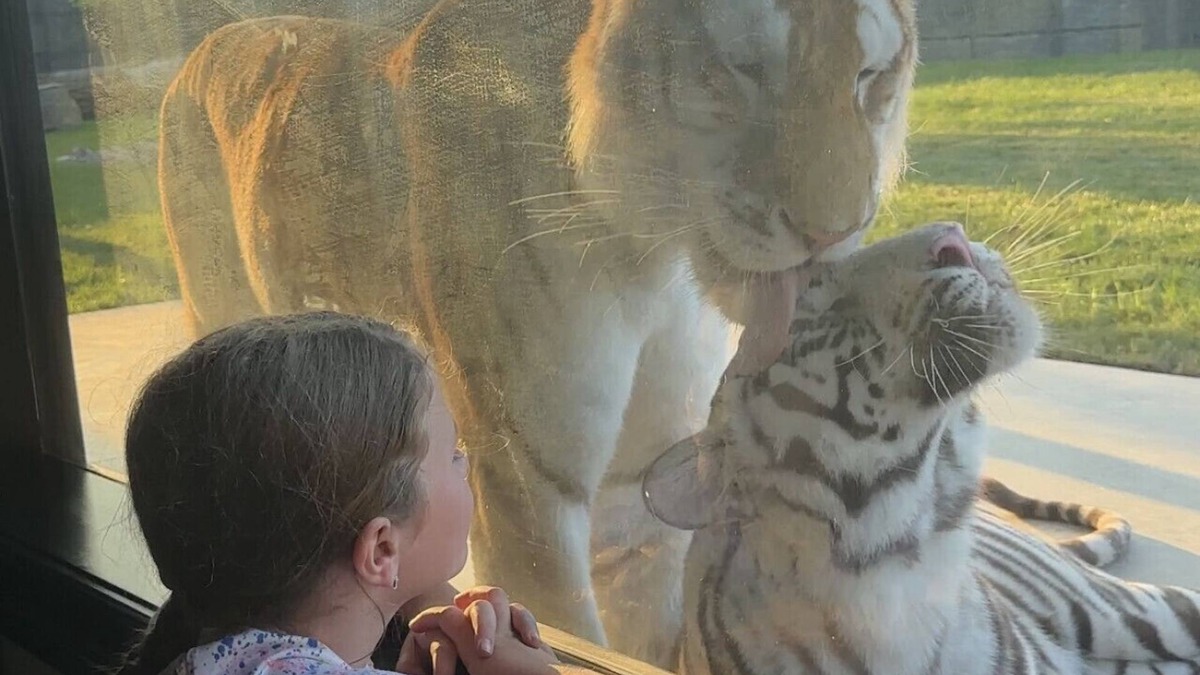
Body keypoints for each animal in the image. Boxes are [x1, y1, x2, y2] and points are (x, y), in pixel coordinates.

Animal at [156, 0, 918, 665]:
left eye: (869, 74)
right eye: (744, 67)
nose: (838, 232)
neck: (656, 258)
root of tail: (202, 48)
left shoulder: (647, 475)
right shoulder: (527, 479)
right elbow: (562, 614)